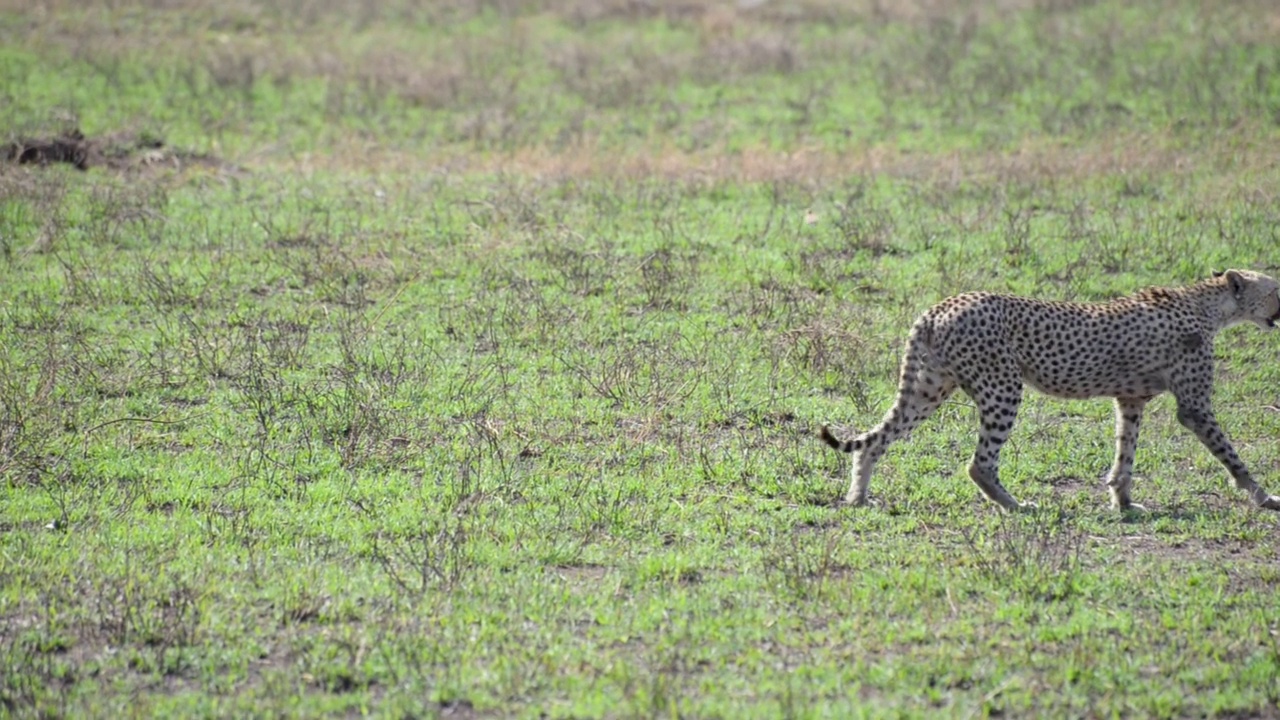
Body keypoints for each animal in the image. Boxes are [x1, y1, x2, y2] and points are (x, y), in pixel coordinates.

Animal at [819, 267, 1280, 509]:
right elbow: (1231, 454)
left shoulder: (1129, 400)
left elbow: (1125, 453)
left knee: (875, 440)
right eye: (1276, 288)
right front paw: (1264, 497)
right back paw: (1015, 505)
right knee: (979, 463)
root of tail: (943, 304)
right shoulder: (1194, 407)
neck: (1210, 303)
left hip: (929, 389)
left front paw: (1124, 501)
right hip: (1002, 387)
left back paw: (858, 497)